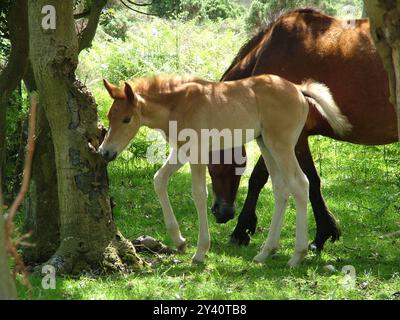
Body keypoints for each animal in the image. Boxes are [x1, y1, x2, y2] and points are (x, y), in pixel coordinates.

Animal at [98, 75, 348, 268]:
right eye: (109, 117)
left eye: (126, 119)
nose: (105, 152)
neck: (178, 104)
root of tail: (298, 89)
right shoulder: (181, 151)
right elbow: (159, 180)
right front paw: (179, 241)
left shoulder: (197, 153)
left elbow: (199, 194)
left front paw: (200, 251)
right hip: (265, 143)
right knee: (281, 188)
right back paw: (266, 252)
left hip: (281, 144)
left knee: (300, 184)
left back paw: (297, 255)